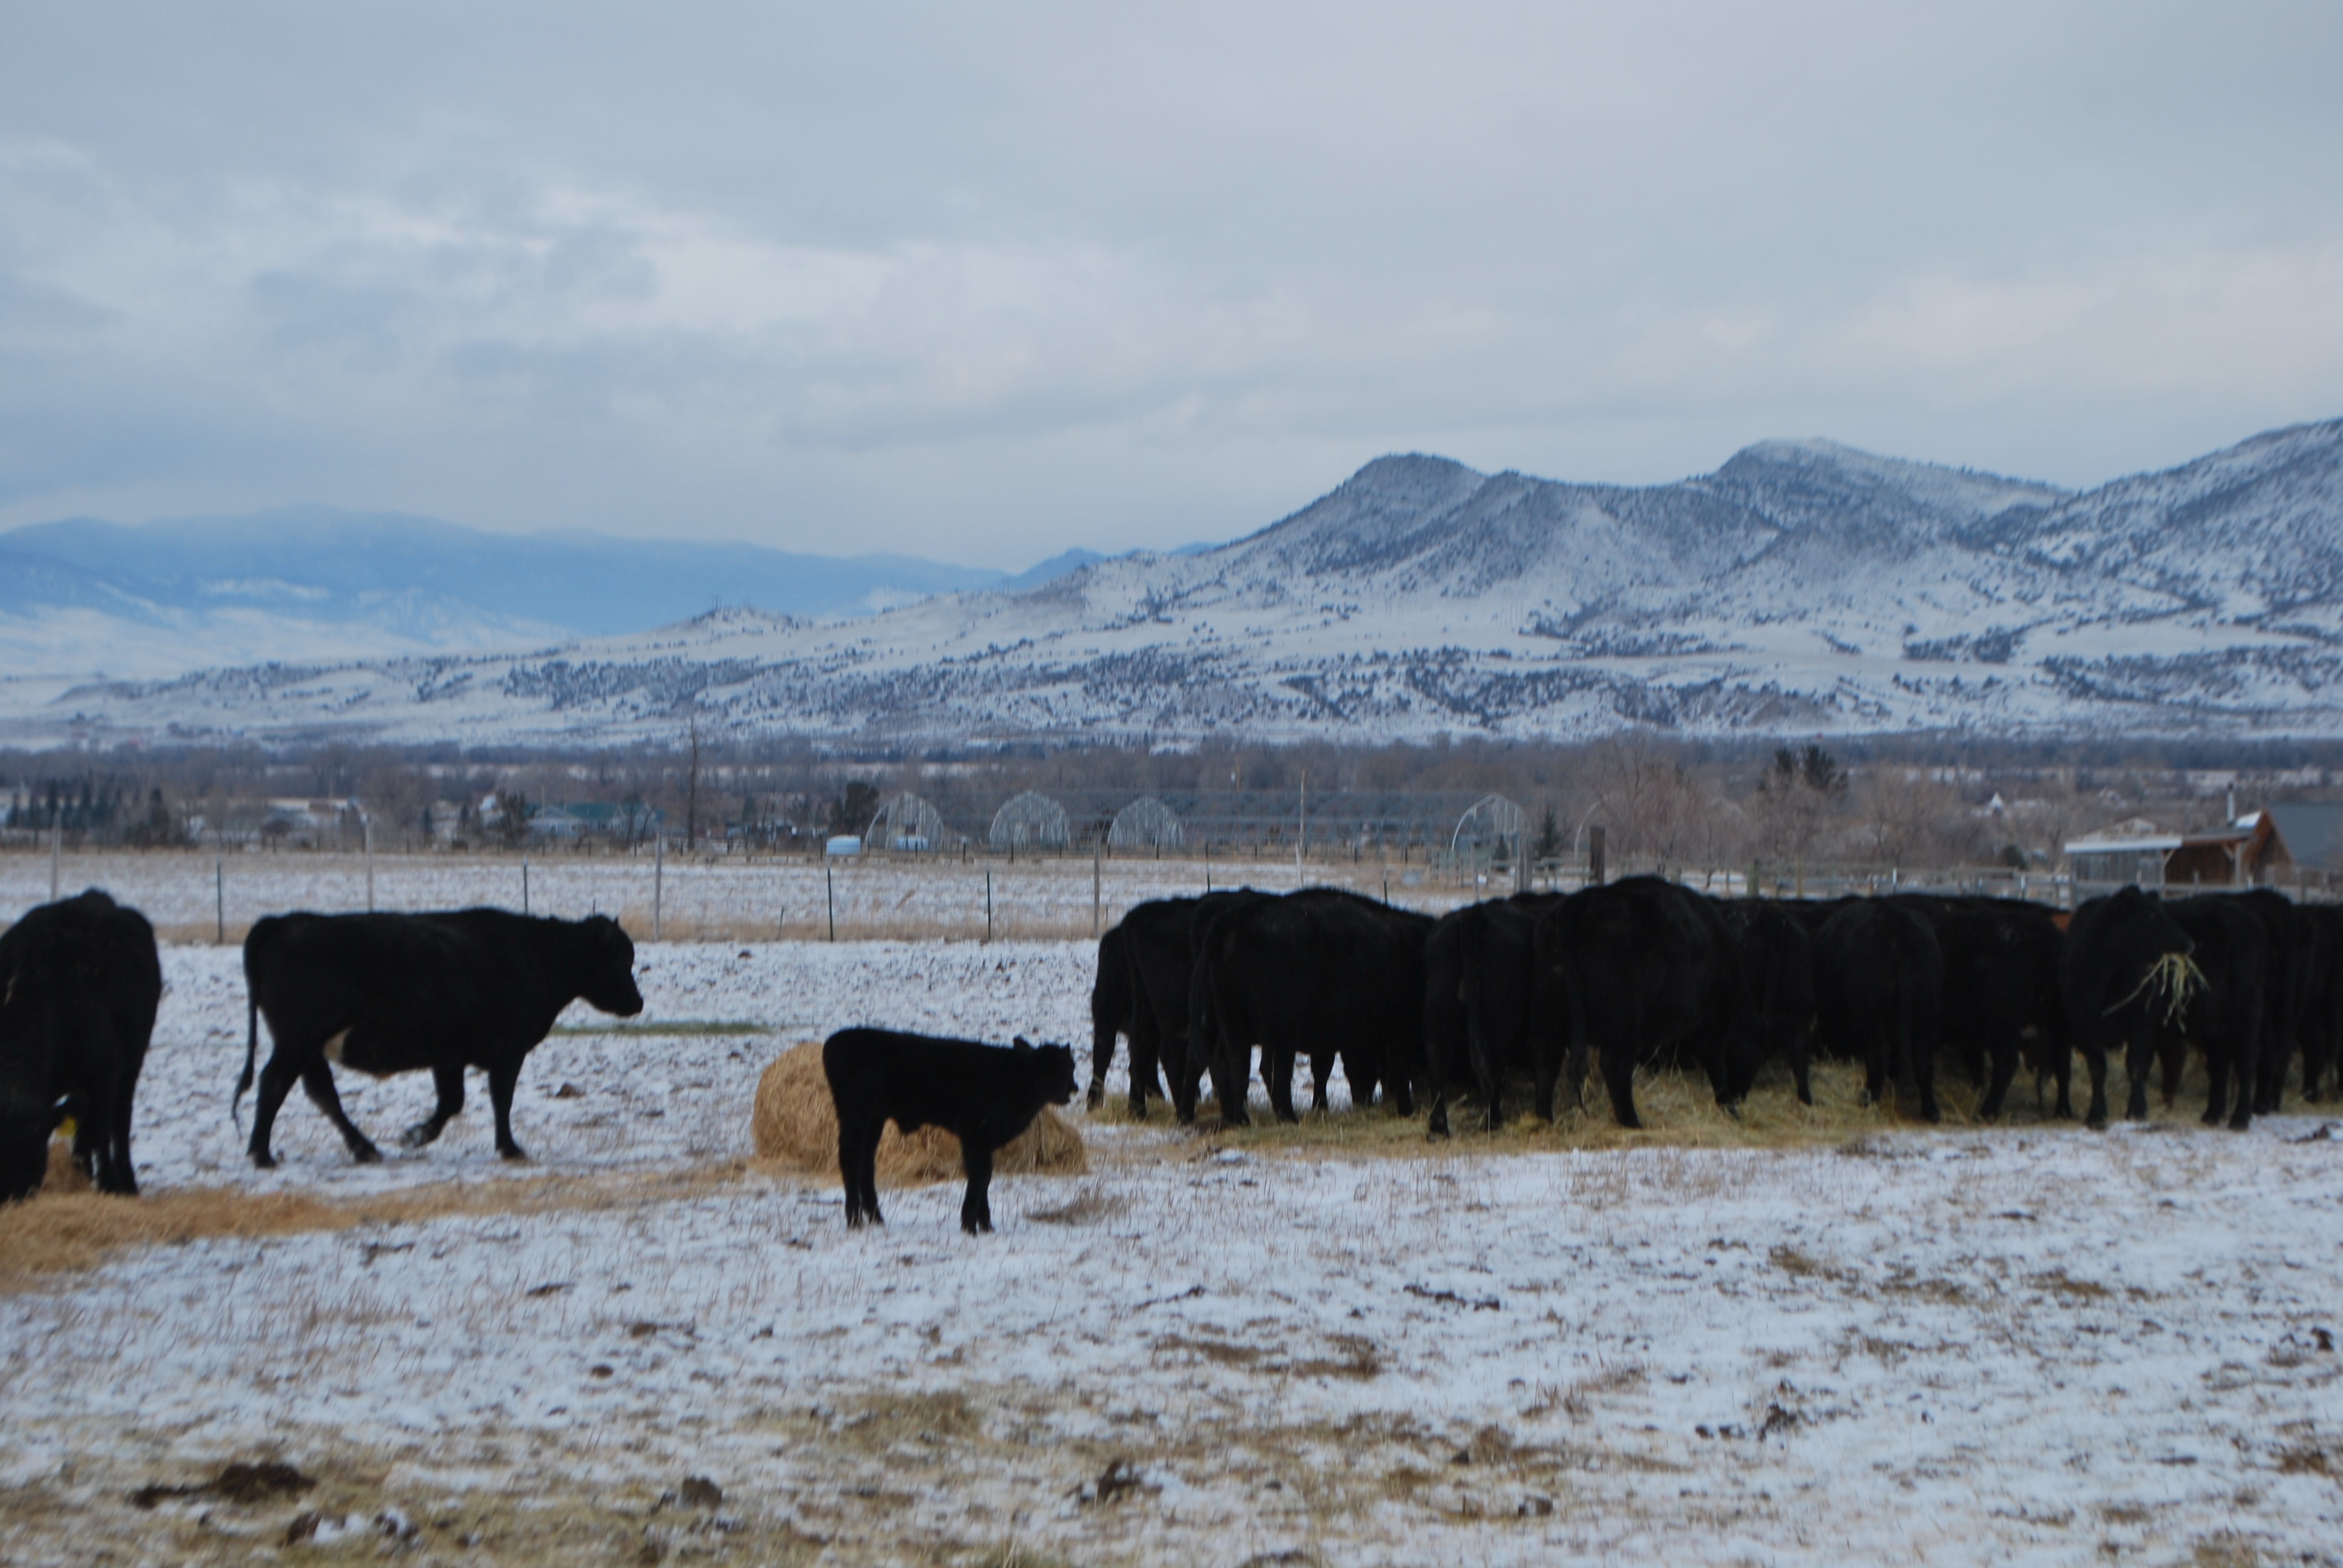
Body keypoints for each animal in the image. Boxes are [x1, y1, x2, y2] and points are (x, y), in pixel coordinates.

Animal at [0, 890, 162, 1200]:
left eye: (33, 1157)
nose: (10, 1198)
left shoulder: (105, 1072)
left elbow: (99, 1131)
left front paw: (110, 1185)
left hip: (131, 1065)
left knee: (118, 1122)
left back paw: (126, 1182)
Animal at [236, 909, 644, 1168]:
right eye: (620, 960)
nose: (638, 1002)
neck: (536, 954)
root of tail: (286, 922)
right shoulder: (508, 1053)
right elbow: (500, 1100)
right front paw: (509, 1148)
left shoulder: (449, 1056)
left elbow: (452, 1102)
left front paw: (415, 1134)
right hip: (297, 1042)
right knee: (275, 1083)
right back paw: (262, 1154)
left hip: (308, 1048)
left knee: (321, 1093)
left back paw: (363, 1149)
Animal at [821, 1027, 1078, 1233]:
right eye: (1068, 1067)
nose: (1075, 1088)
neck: (1018, 1078)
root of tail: (836, 1040)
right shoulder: (976, 1136)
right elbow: (981, 1176)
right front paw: (971, 1225)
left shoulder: (982, 1142)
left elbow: (983, 1178)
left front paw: (986, 1226)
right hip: (855, 1118)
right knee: (850, 1162)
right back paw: (855, 1221)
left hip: (874, 1120)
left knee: (866, 1164)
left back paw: (876, 1219)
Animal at [1531, 877, 1758, 1129]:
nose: (1743, 1093)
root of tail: (1577, 903)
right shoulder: (1715, 1020)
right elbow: (1717, 1064)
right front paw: (1729, 1107)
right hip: (1622, 1020)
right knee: (1615, 1066)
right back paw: (1632, 1122)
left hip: (1553, 1015)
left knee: (1547, 1060)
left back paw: (1545, 1119)